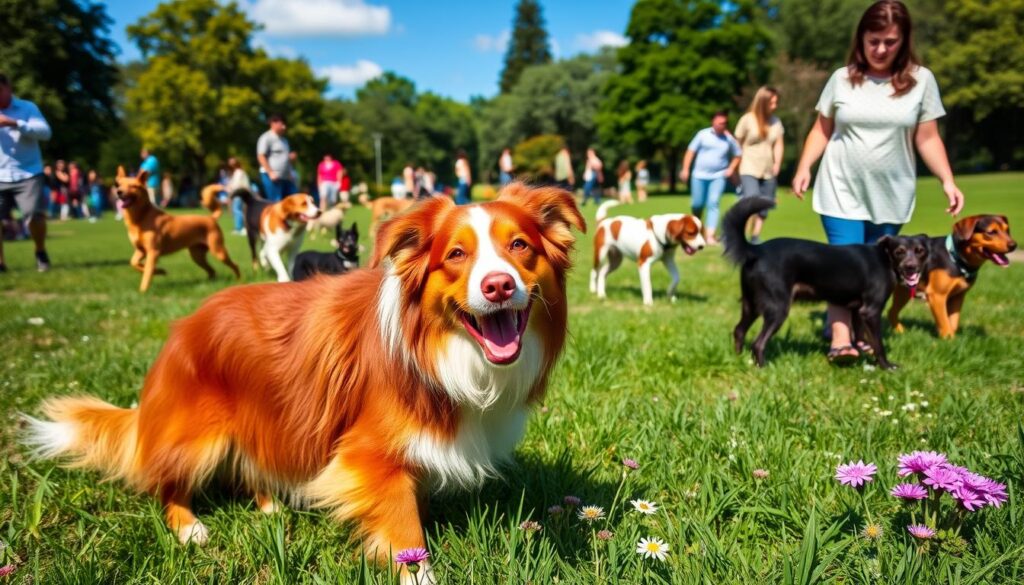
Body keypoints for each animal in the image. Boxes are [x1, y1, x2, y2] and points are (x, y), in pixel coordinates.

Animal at [113, 165, 239, 293]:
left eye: (133, 186)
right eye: (118, 184)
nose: (119, 192)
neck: (141, 218)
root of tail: (211, 218)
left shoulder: (153, 252)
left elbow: (147, 273)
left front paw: (143, 291)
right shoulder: (141, 251)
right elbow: (134, 263)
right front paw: (160, 271)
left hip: (218, 251)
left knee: (235, 265)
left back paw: (238, 281)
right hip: (197, 255)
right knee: (212, 270)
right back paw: (209, 283)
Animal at [724, 197, 933, 370]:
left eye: (920, 251)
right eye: (899, 252)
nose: (911, 267)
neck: (885, 258)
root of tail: (756, 250)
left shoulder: (858, 310)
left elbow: (861, 337)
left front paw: (860, 356)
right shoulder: (871, 311)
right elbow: (878, 343)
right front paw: (886, 366)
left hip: (751, 305)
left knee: (739, 330)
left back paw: (739, 359)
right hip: (777, 308)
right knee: (758, 343)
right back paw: (764, 368)